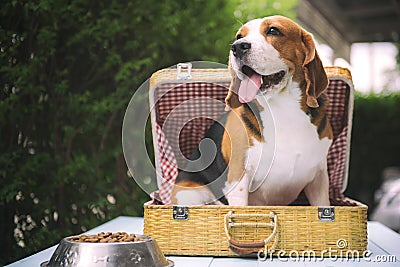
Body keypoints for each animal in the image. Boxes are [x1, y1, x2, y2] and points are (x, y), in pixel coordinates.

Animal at [170, 15, 332, 207]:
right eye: (239, 36)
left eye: (273, 30)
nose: (237, 47)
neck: (283, 109)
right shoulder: (238, 177)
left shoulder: (319, 179)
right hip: (189, 195)